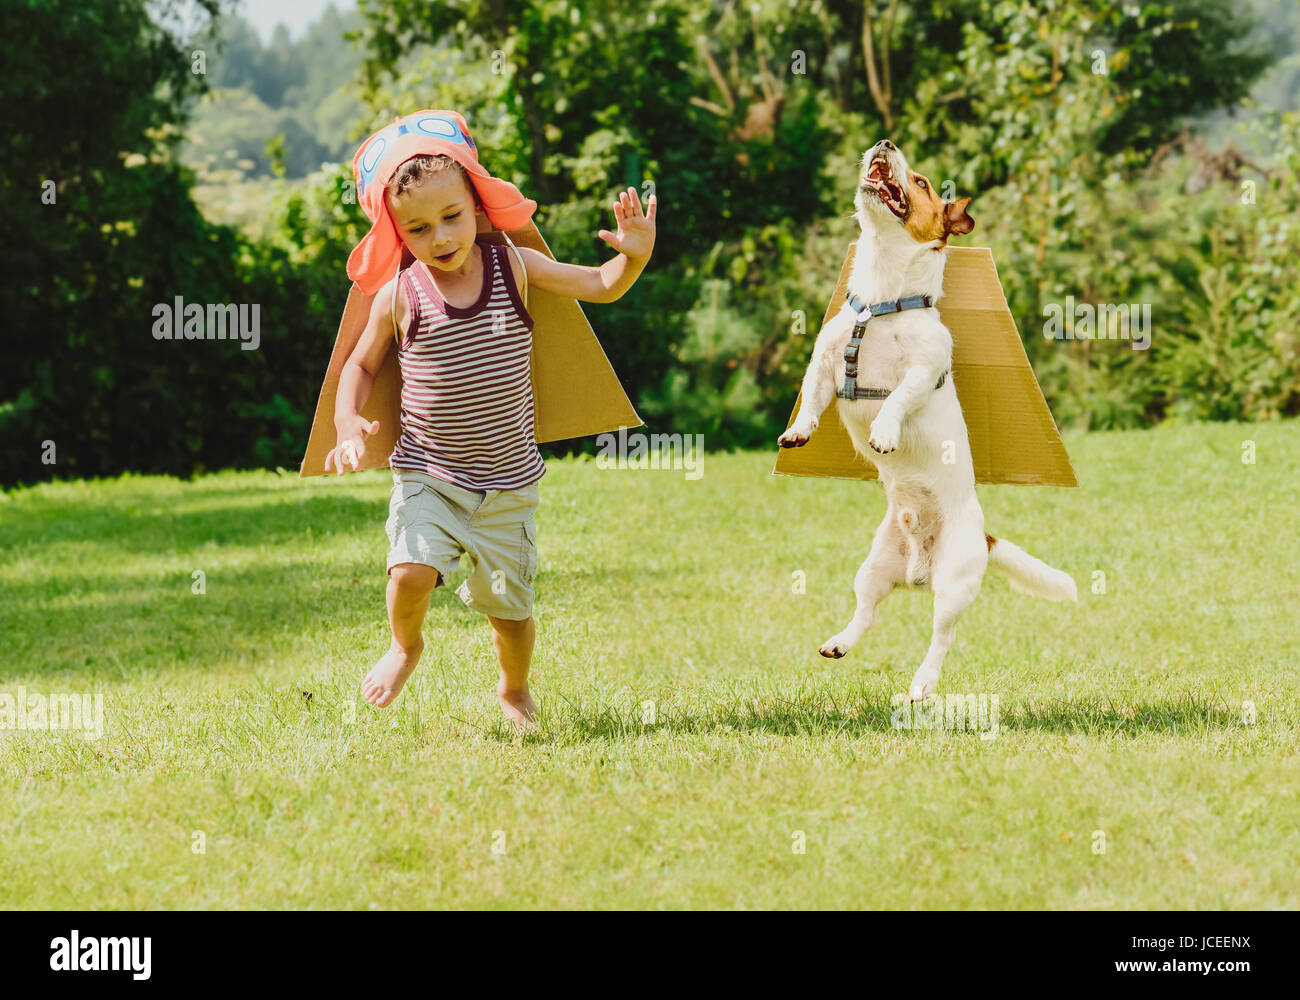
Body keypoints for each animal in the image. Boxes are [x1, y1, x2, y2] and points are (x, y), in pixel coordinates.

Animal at [774, 140, 1071, 702]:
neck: (879, 303)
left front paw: (884, 432)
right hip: (873, 567)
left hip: (954, 584)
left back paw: (921, 684)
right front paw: (799, 431)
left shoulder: (924, 369)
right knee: (867, 612)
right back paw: (839, 643)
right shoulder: (824, 364)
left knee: (942, 637)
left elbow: (898, 397)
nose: (885, 142)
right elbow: (813, 399)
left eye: (923, 182)